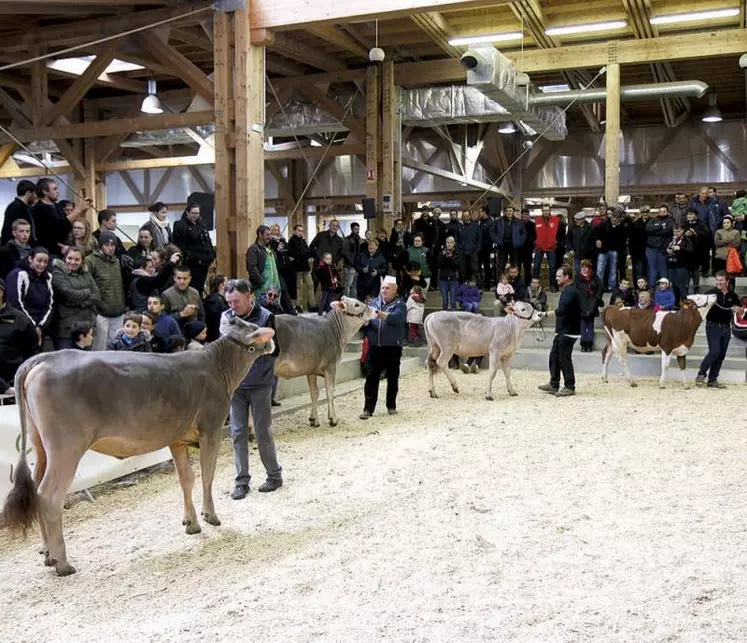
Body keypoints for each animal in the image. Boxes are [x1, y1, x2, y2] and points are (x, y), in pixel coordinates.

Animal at [1, 318, 276, 580]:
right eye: (253, 328)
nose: (273, 342)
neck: (217, 364)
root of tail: (43, 358)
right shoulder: (212, 428)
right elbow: (207, 475)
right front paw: (210, 516)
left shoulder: (177, 439)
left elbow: (185, 479)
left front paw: (191, 523)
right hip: (66, 447)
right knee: (49, 495)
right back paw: (63, 563)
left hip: (41, 445)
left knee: (35, 487)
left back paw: (47, 554)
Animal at [274, 296, 376, 428]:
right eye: (356, 304)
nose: (376, 310)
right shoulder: (330, 366)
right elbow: (330, 391)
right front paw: (333, 419)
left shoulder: (311, 369)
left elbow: (314, 393)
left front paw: (314, 419)